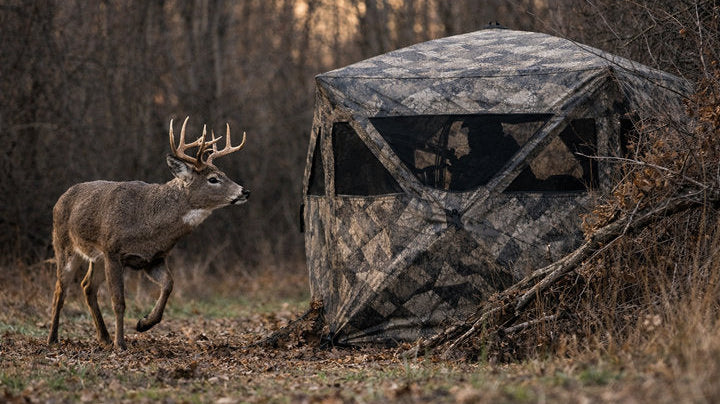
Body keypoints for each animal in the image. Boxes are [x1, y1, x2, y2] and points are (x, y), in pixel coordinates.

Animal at [47, 117, 250, 350]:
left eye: (224, 174)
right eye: (213, 179)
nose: (245, 191)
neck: (148, 222)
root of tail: (61, 198)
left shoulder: (153, 258)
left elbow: (169, 284)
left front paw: (144, 323)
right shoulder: (113, 251)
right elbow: (118, 301)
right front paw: (121, 343)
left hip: (96, 257)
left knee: (87, 286)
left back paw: (103, 337)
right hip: (64, 245)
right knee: (59, 289)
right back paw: (53, 338)